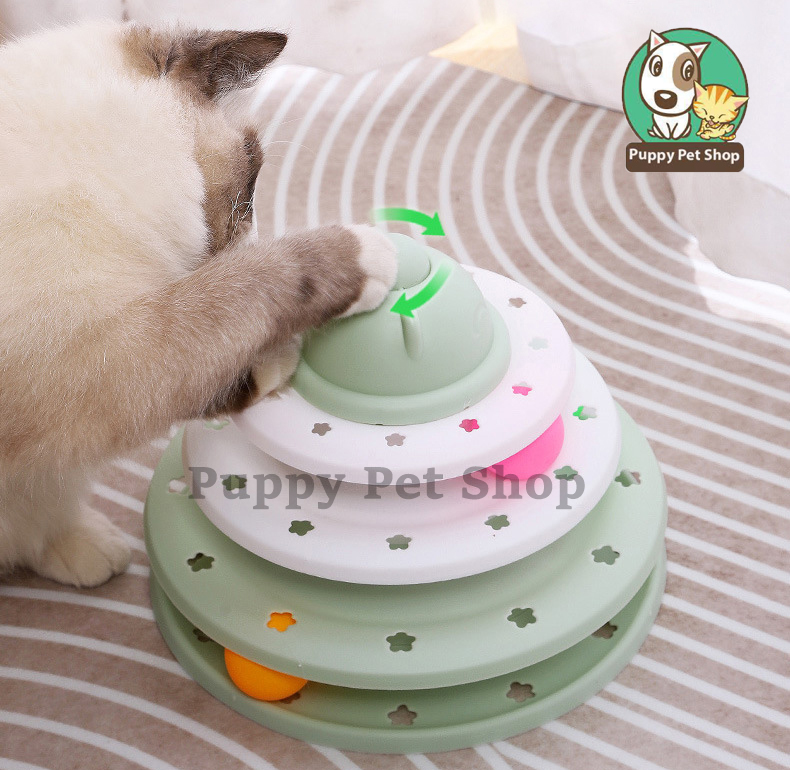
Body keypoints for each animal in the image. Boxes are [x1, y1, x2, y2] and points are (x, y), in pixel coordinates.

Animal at [0, 22, 398, 587]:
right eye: (250, 189)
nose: (252, 237)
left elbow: (218, 361)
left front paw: (277, 365)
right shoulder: (96, 358)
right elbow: (235, 292)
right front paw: (364, 253)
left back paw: (88, 551)